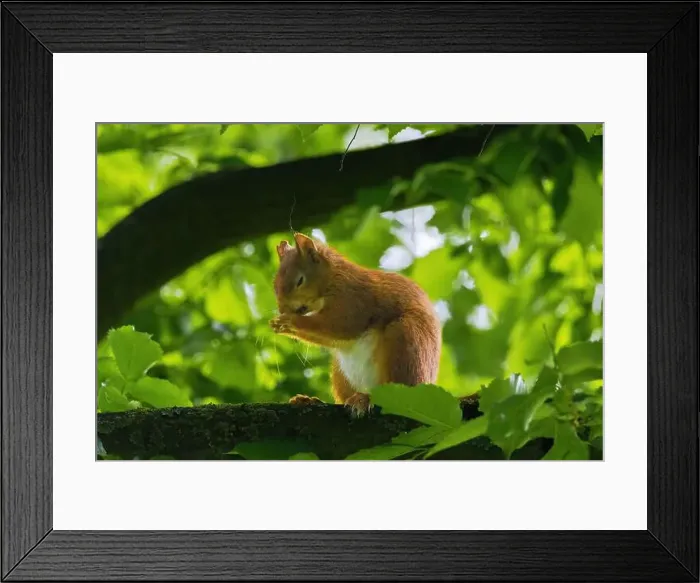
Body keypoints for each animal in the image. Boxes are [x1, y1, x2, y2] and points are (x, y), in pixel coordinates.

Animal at [270, 232, 442, 417]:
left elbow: (340, 325)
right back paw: (311, 400)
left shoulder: (353, 300)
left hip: (405, 341)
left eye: (300, 280)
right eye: (275, 284)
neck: (334, 277)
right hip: (340, 373)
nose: (282, 309)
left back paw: (365, 399)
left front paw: (289, 321)